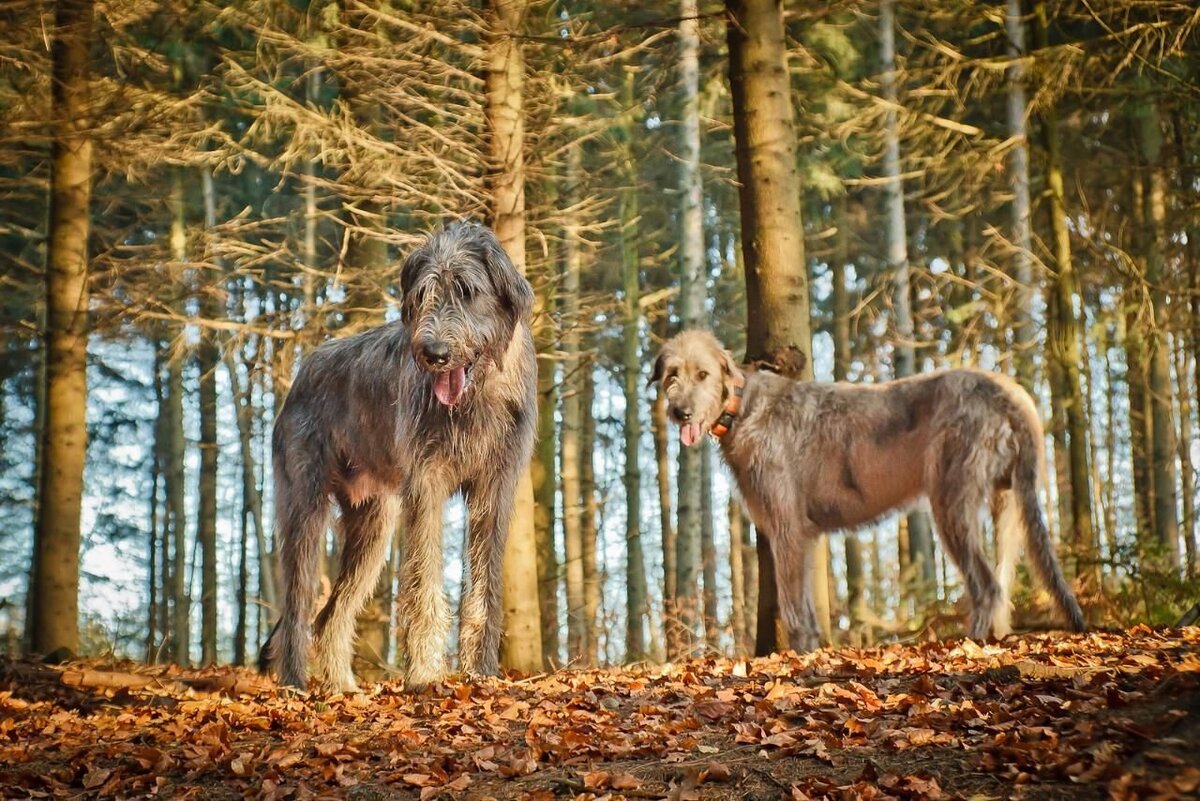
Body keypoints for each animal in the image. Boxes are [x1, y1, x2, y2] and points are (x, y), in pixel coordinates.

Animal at [267, 221, 540, 690]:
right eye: (423, 294)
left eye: (467, 290)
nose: (434, 353)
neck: (476, 397)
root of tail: (304, 369)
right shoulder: (426, 482)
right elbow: (424, 576)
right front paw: (426, 674)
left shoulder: (495, 487)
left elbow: (485, 585)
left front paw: (480, 671)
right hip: (304, 505)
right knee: (298, 605)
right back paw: (295, 683)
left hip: (373, 525)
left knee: (330, 615)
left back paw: (342, 688)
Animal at [657, 330, 1089, 652]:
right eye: (672, 374)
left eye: (703, 374)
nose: (680, 412)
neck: (743, 405)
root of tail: (1011, 394)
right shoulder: (804, 536)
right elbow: (807, 608)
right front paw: (810, 651)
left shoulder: (785, 528)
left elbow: (792, 606)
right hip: (1010, 501)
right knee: (1003, 578)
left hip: (951, 500)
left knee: (987, 586)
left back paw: (971, 644)